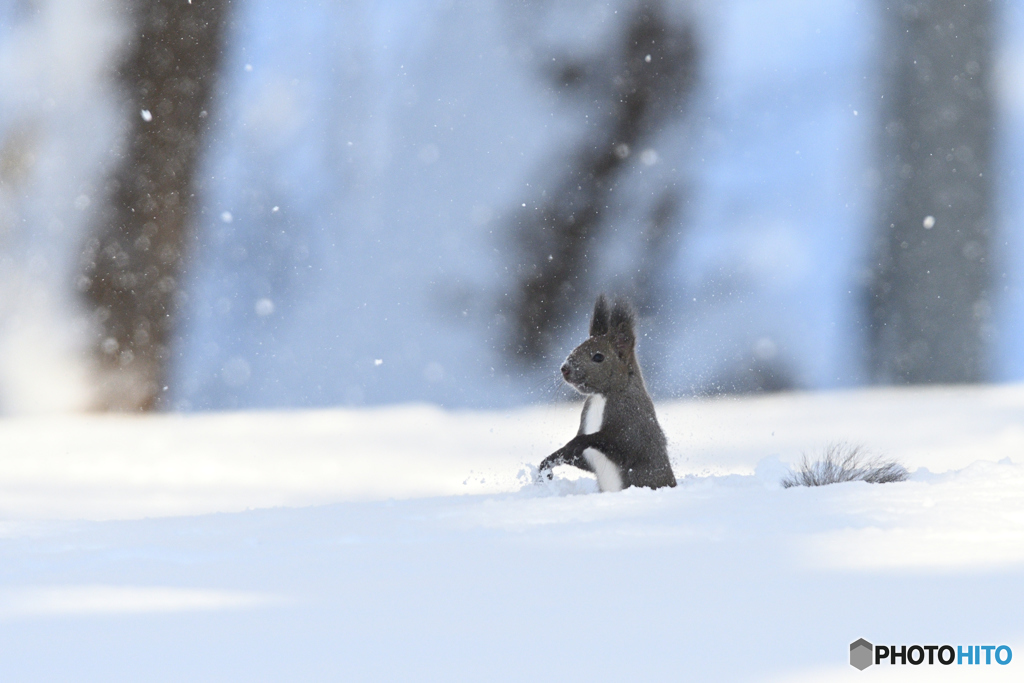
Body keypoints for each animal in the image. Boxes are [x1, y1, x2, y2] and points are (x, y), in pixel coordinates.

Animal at [540, 294, 675, 491]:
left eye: (598, 357)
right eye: (578, 345)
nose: (565, 368)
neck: (601, 397)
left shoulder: (633, 424)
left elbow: (619, 446)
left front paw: (575, 443)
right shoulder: (587, 454)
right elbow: (578, 460)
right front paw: (548, 462)